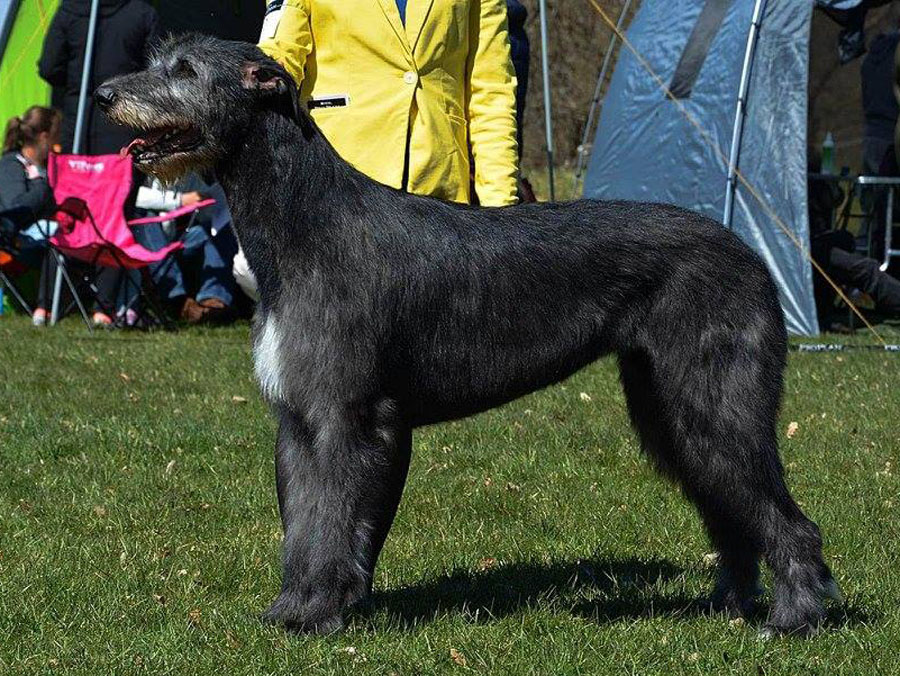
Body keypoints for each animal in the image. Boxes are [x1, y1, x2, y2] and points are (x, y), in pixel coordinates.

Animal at [98, 35, 844, 640]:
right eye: (160, 60)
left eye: (186, 70)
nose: (106, 94)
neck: (303, 219)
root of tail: (752, 255)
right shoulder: (299, 418)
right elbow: (304, 519)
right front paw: (293, 609)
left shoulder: (345, 415)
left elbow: (332, 516)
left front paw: (319, 615)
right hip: (668, 407)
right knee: (730, 511)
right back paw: (731, 608)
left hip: (715, 397)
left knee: (785, 516)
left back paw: (796, 618)